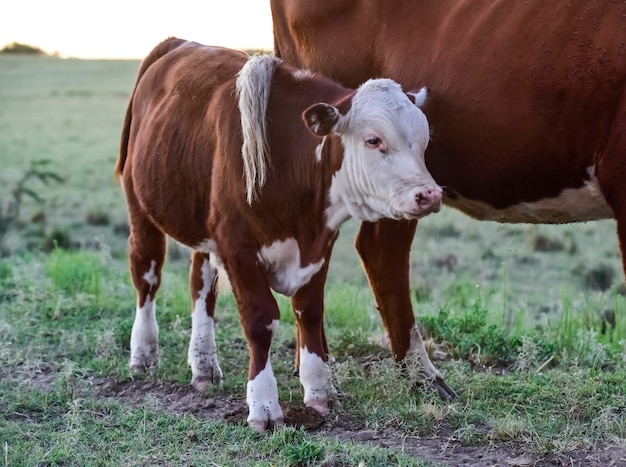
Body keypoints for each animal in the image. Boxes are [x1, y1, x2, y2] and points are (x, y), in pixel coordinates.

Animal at [114, 37, 442, 436]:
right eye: (373, 140)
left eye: (423, 142)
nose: (430, 195)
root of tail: (178, 43)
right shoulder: (237, 248)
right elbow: (260, 322)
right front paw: (264, 404)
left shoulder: (319, 244)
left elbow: (310, 312)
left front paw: (319, 391)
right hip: (140, 206)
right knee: (146, 273)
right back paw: (143, 353)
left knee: (200, 285)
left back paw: (204, 364)